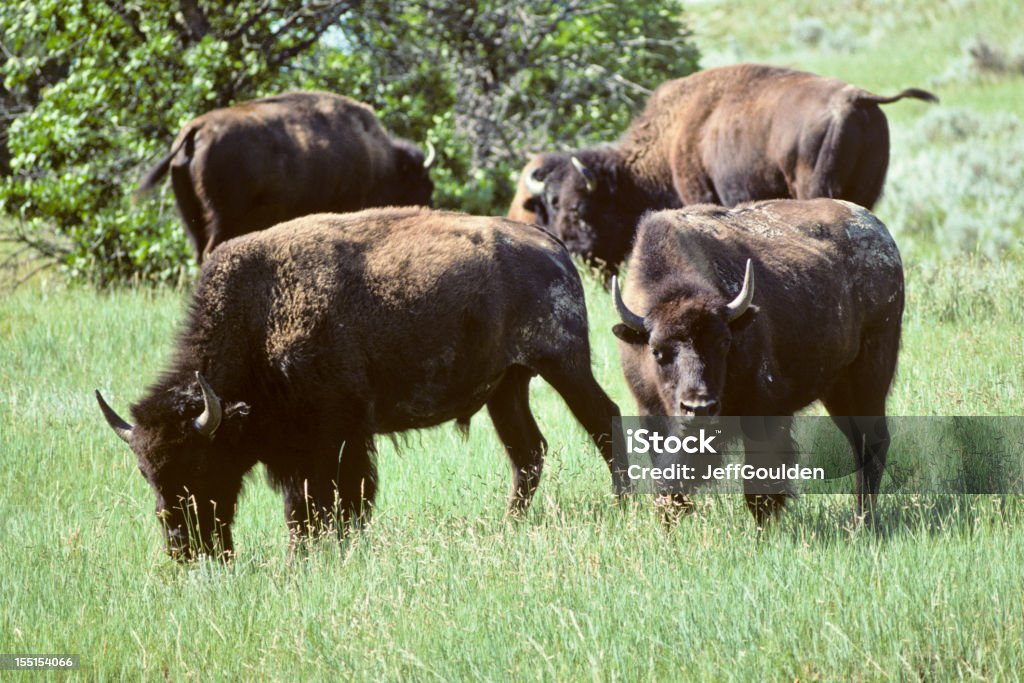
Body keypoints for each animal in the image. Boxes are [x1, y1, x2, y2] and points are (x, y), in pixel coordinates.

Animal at [97, 208, 622, 561]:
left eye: (200, 464)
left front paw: (309, 555)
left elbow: (325, 503)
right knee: (528, 452)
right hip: (507, 387)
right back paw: (509, 522)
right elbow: (318, 505)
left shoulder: (333, 440)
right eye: (147, 474)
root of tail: (551, 245)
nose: (184, 549)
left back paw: (622, 502)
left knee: (604, 420)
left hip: (564, 365)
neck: (261, 315)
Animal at [134, 90, 434, 262]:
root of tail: (198, 129)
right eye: (423, 184)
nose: (428, 209)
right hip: (223, 217)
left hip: (192, 217)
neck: (381, 160)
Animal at [528, 62, 937, 274]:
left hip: (816, 186)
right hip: (869, 189)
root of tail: (857, 98)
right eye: (549, 205)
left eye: (578, 208)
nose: (575, 258)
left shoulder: (697, 190)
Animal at [606, 197, 905, 524]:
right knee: (859, 444)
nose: (699, 407)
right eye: (657, 351)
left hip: (869, 378)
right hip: (837, 392)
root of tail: (882, 236)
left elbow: (759, 483)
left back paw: (862, 520)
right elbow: (667, 475)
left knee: (874, 442)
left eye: (724, 342)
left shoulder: (765, 412)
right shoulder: (652, 416)